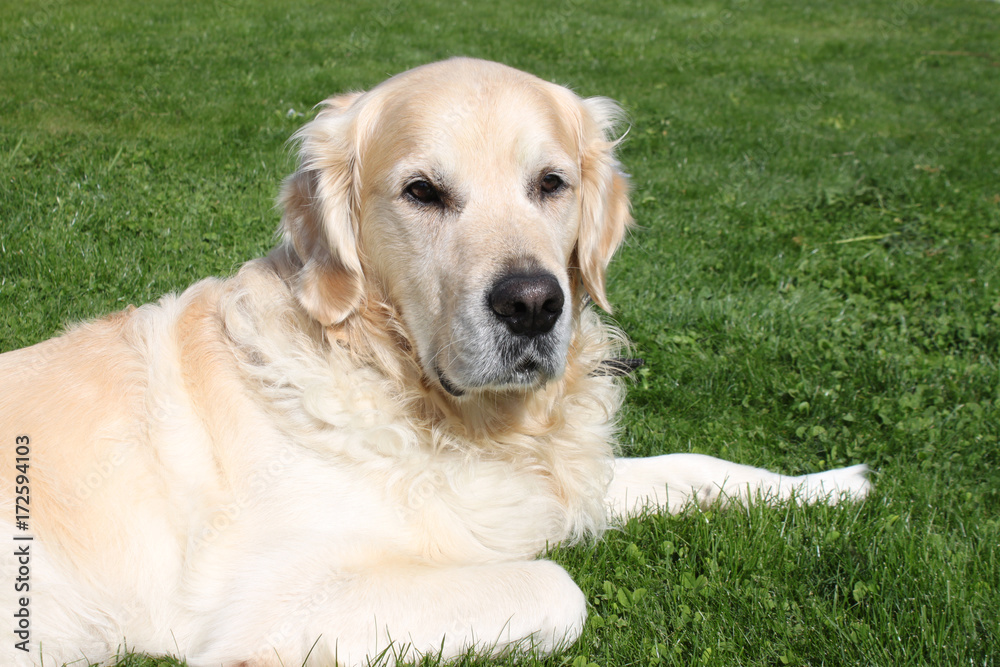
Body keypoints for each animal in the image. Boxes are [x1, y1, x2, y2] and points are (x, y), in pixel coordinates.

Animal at [0, 58, 868, 667]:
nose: (532, 303)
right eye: (422, 191)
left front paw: (830, 485)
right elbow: (558, 586)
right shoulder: (280, 599)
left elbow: (693, 465)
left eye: (551, 183)